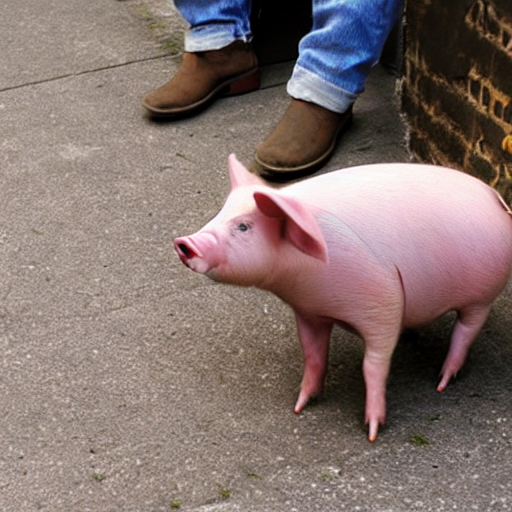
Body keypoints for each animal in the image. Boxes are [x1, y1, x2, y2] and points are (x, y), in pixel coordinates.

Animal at [175, 154, 512, 442]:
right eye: (219, 214)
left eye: (244, 227)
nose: (184, 242)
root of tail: (495, 198)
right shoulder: (308, 311)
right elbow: (313, 355)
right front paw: (300, 406)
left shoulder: (383, 299)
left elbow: (373, 364)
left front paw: (372, 432)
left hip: (481, 295)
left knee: (466, 330)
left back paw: (442, 382)